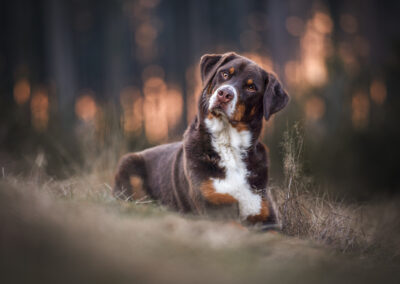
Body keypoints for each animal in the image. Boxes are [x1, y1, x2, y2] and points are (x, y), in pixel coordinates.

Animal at [114, 51, 290, 229]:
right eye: (225, 74)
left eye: (251, 87)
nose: (224, 94)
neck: (228, 144)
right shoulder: (214, 210)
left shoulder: (266, 216)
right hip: (129, 162)